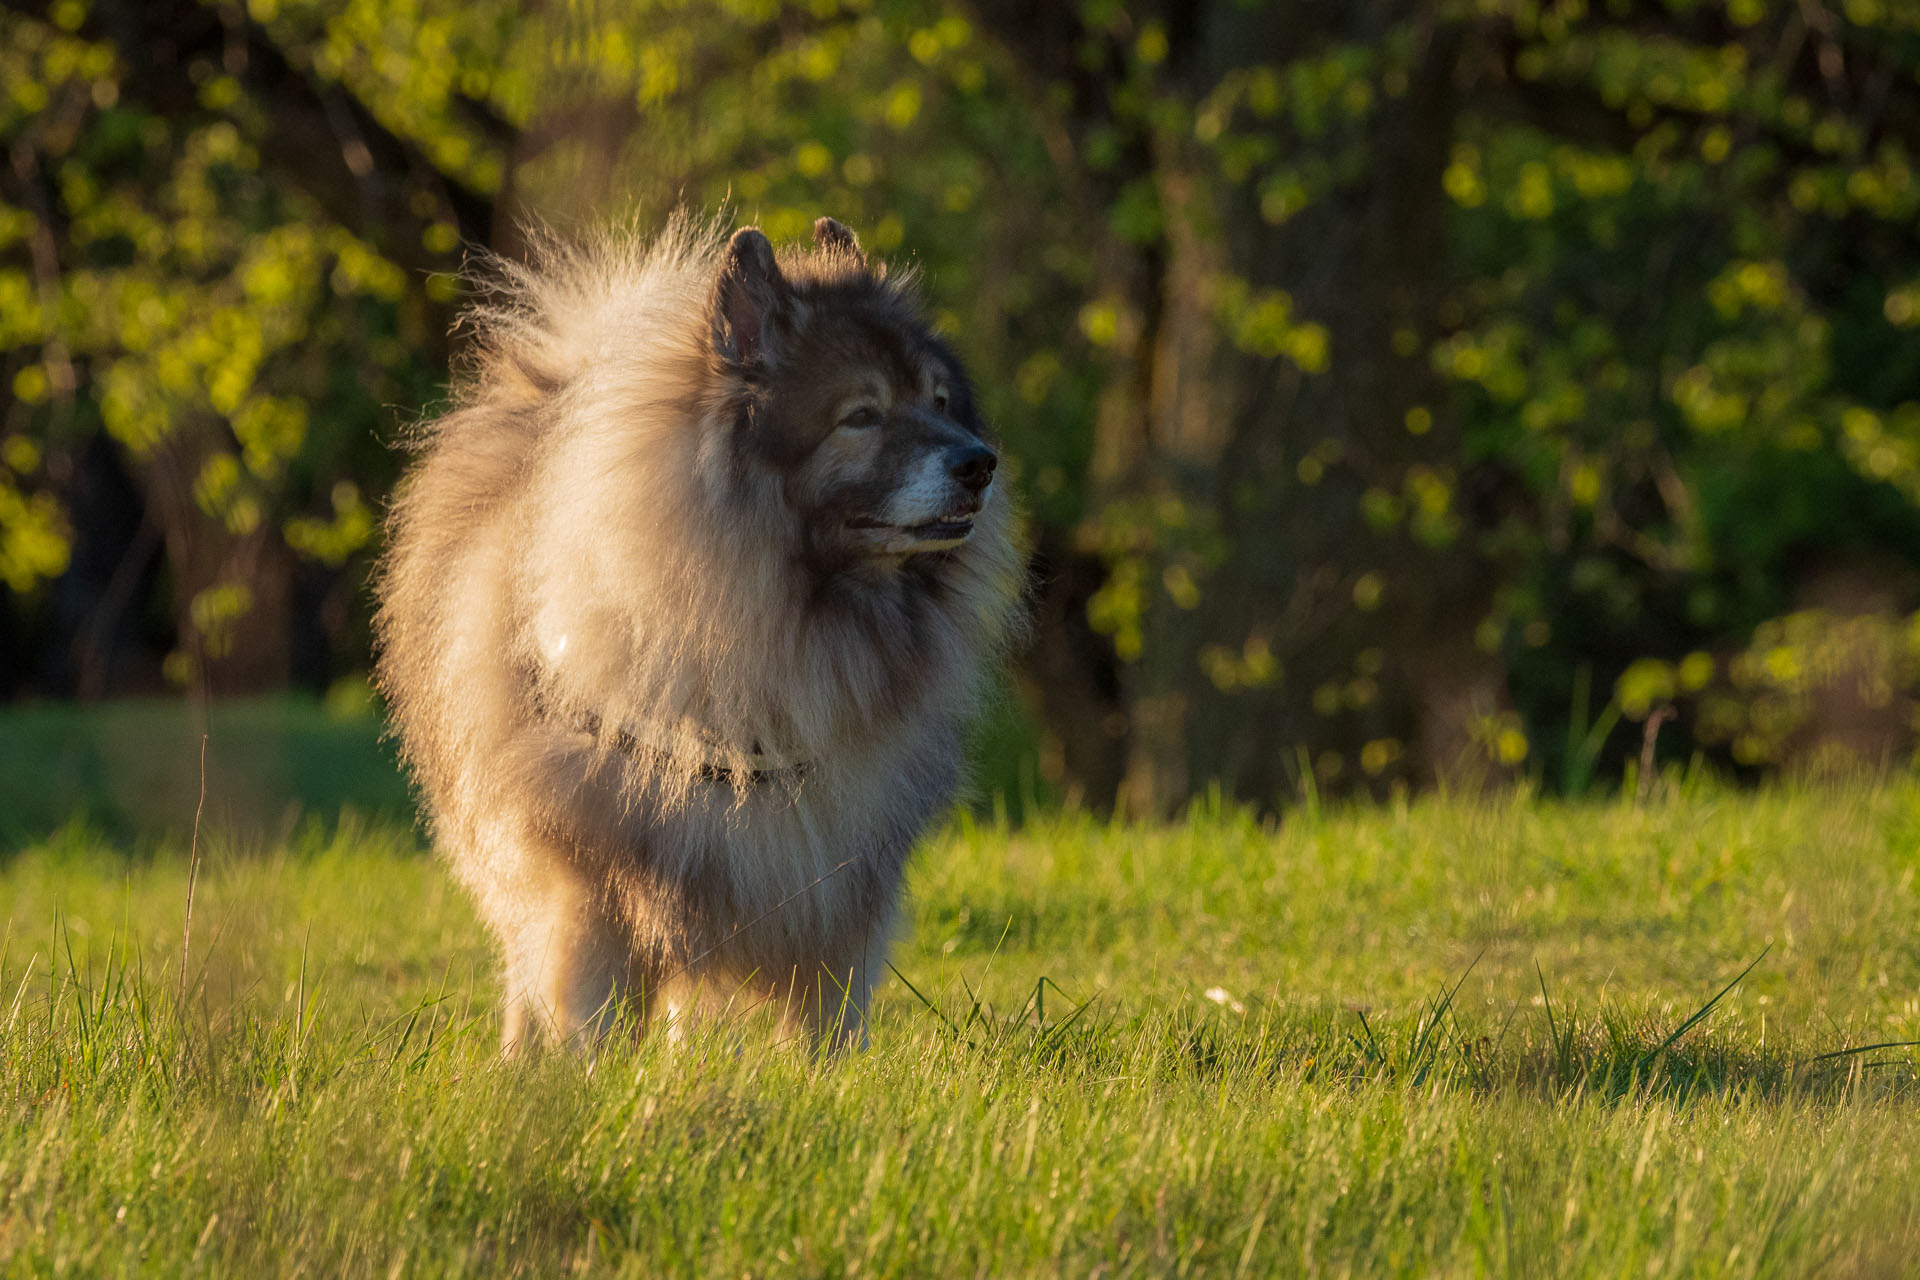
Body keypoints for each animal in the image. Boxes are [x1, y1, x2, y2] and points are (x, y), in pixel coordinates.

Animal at [378, 217, 1036, 1051]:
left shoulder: (834, 893)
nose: (981, 463)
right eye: (862, 415)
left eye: (943, 403)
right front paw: (583, 1076)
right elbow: (586, 1014)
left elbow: (822, 1029)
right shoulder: (592, 887)